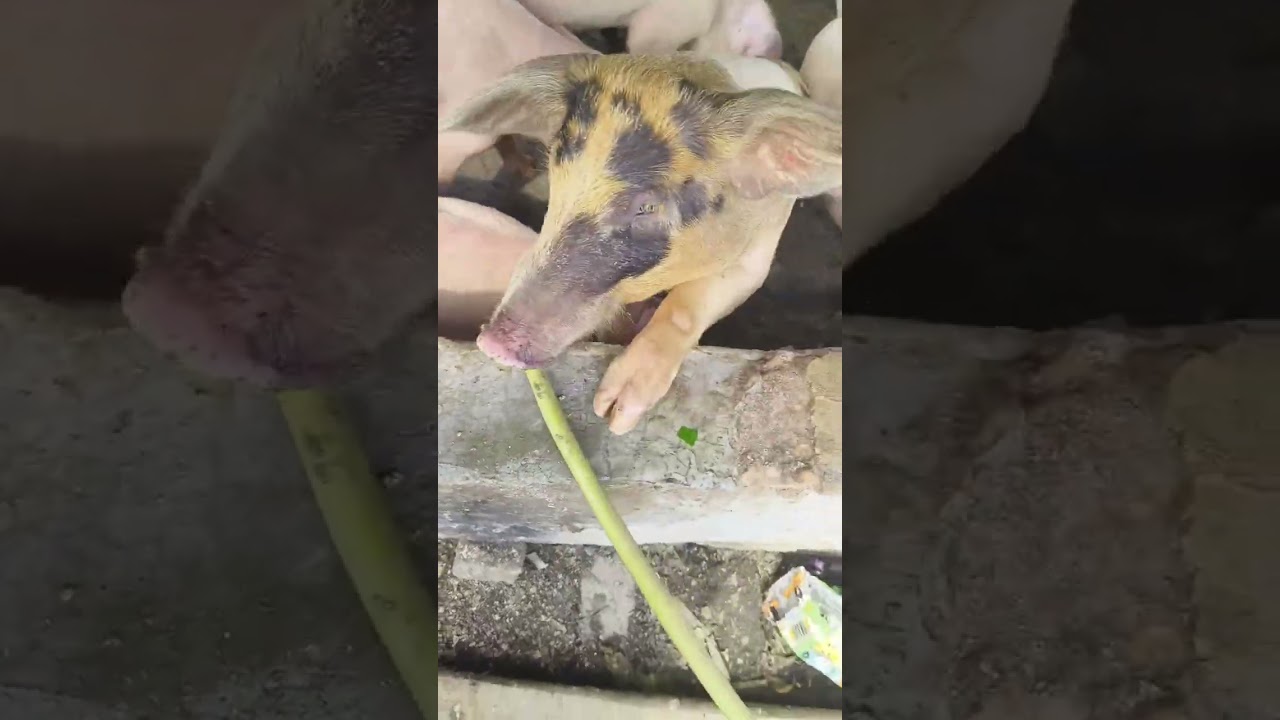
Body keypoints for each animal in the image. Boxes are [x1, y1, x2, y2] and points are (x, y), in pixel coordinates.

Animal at [438, 52, 842, 434]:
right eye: (556, 173)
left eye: (647, 207)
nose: (491, 343)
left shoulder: (759, 247)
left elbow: (688, 307)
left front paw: (615, 414)